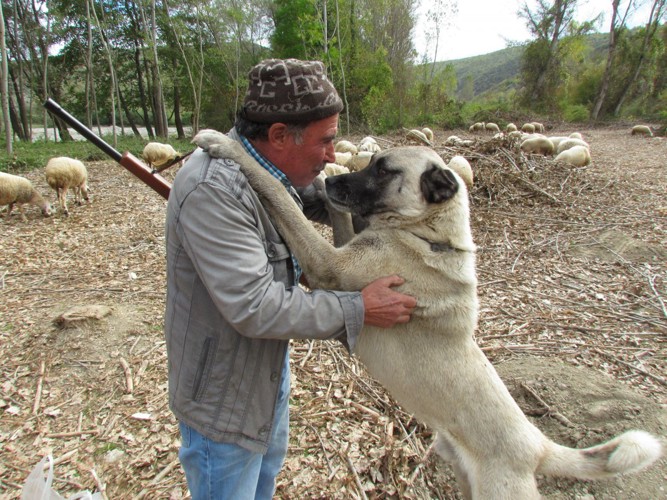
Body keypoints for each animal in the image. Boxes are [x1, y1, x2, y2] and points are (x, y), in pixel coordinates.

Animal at [193, 133, 664, 500]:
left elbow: (274, 189)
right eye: (369, 163)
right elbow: (340, 214)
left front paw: (226, 145)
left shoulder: (329, 265)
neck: (426, 234)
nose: (329, 179)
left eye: (385, 171)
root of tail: (539, 447)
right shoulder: (343, 249)